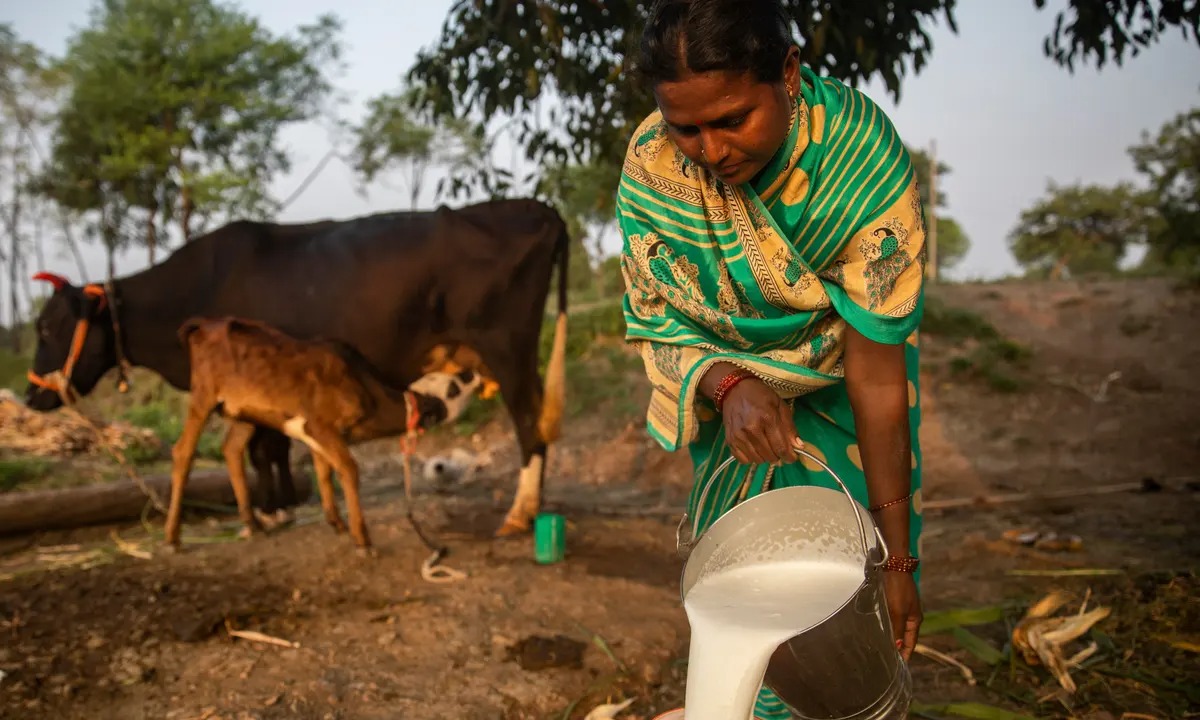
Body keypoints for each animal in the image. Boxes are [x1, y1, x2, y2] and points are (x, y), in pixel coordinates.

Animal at [162, 316, 456, 556]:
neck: (366, 388)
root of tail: (203, 325)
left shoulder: (315, 433)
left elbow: (324, 471)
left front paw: (337, 523)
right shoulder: (320, 426)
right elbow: (348, 469)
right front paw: (362, 540)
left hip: (243, 412)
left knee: (231, 449)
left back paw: (253, 524)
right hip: (203, 396)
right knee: (183, 452)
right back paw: (172, 538)